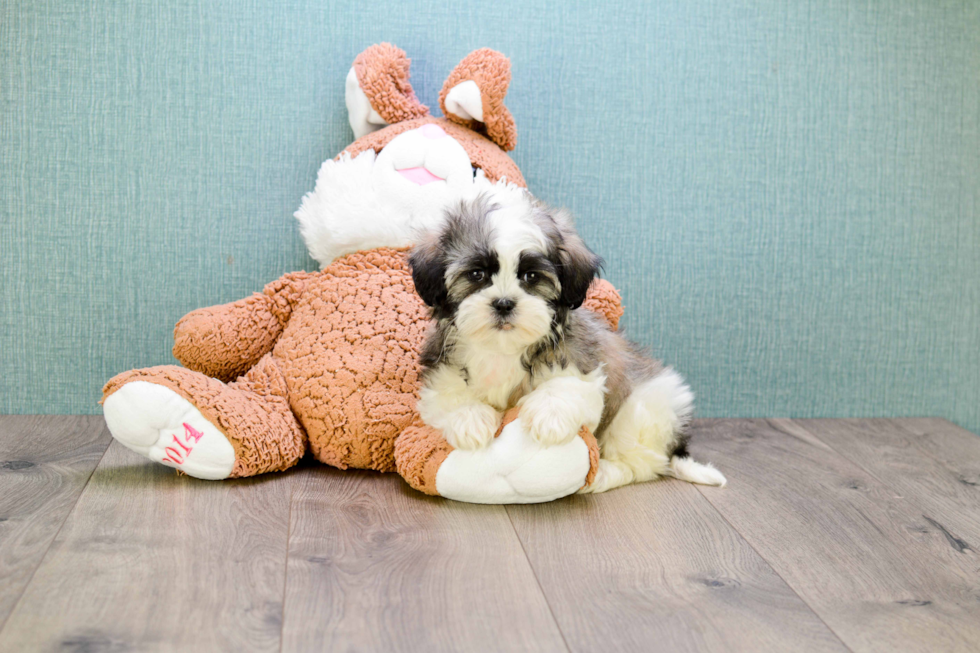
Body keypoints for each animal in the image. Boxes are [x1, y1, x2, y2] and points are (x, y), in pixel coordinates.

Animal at [410, 186, 724, 492]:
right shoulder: (440, 370)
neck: (503, 349)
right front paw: (470, 419)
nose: (503, 303)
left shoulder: (580, 362)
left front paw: (548, 415)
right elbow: (450, 392)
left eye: (531, 276)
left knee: (642, 462)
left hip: (646, 409)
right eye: (476, 274)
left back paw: (603, 474)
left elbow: (567, 385)